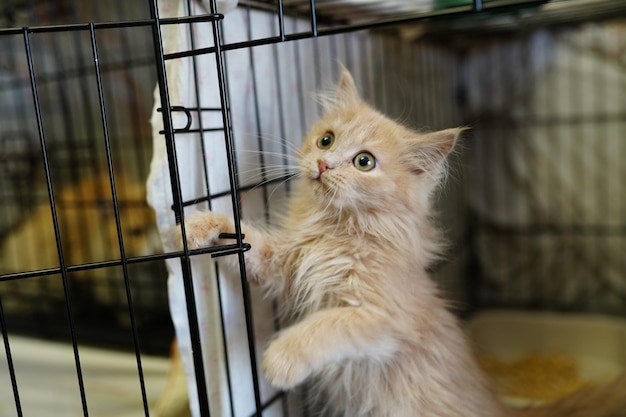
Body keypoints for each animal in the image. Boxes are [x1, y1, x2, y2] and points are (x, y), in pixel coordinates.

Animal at [176, 70, 624, 414]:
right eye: (326, 140)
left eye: (364, 162)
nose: (323, 164)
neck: (334, 230)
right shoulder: (287, 265)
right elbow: (248, 240)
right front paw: (199, 225)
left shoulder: (381, 317)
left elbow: (325, 328)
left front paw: (282, 360)